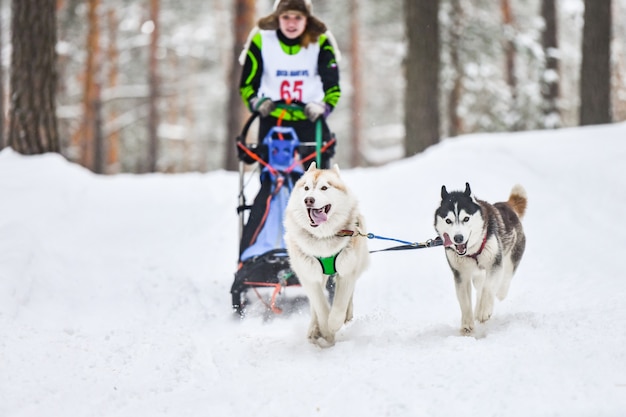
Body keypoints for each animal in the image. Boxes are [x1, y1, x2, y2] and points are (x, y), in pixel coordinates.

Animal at [284, 161, 368, 346]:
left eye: (324, 188)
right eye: (306, 188)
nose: (308, 200)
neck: (323, 239)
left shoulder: (347, 271)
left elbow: (339, 304)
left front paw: (334, 324)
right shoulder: (309, 276)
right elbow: (321, 306)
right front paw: (325, 331)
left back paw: (346, 315)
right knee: (315, 306)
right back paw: (314, 330)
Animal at [434, 182, 528, 334]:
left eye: (466, 218)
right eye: (448, 220)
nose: (458, 238)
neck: (472, 251)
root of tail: (505, 205)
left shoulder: (494, 263)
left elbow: (488, 287)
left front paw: (484, 311)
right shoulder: (461, 274)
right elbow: (465, 301)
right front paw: (467, 324)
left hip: (512, 253)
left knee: (505, 277)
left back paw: (498, 294)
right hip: (478, 275)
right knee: (479, 288)